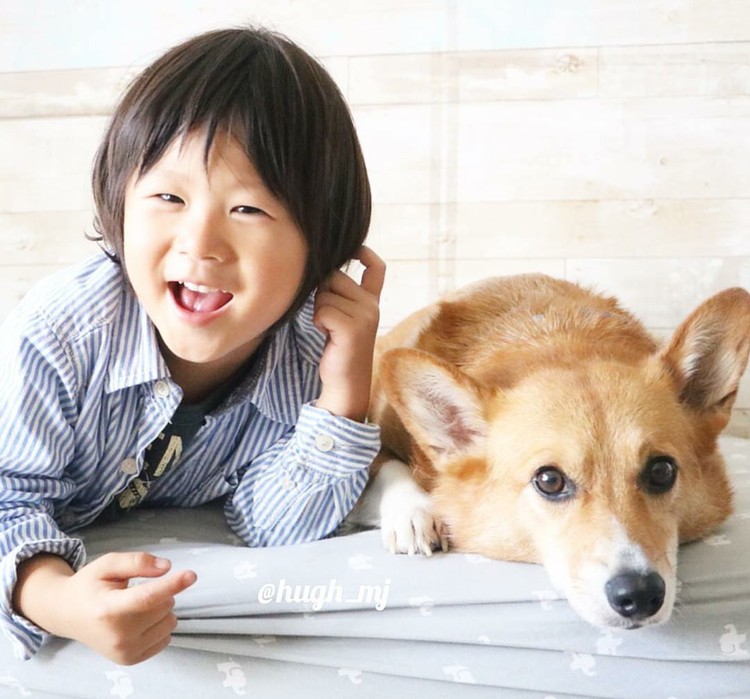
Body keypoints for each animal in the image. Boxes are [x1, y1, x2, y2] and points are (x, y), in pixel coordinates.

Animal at [350, 276, 750, 632]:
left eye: (661, 471)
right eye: (549, 480)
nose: (639, 596)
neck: (558, 339)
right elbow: (382, 465)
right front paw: (412, 514)